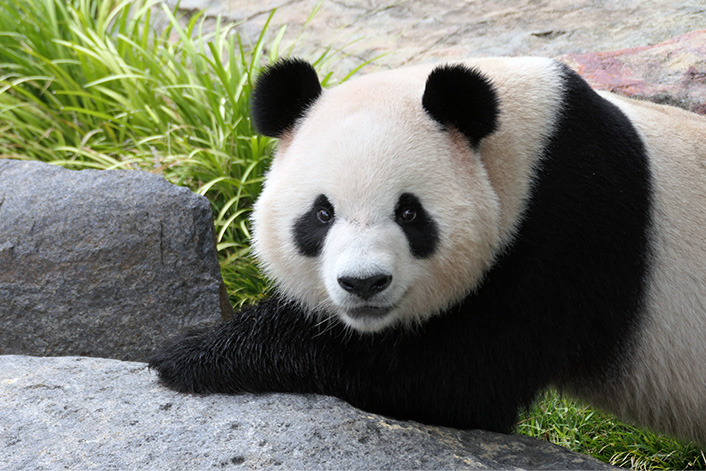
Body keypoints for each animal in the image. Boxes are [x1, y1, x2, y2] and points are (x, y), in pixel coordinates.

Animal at [150, 56, 706, 445]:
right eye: (322, 214)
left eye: (409, 213)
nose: (364, 283)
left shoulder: (565, 231)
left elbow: (454, 377)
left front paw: (190, 353)